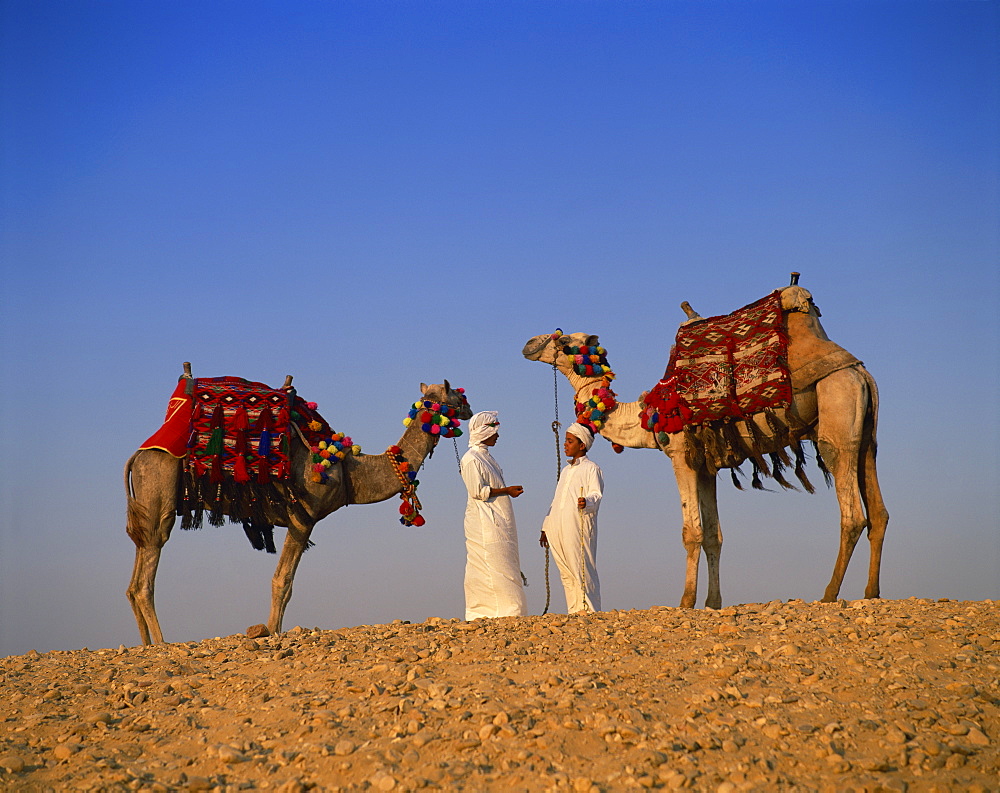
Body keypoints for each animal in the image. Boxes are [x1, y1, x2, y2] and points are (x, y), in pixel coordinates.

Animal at [126, 378, 472, 644]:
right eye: (458, 395)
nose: (470, 409)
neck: (348, 471)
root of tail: (137, 455)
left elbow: (285, 582)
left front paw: (273, 631)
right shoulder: (302, 518)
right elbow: (283, 581)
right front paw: (273, 633)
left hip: (146, 510)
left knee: (134, 576)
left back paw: (145, 643)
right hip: (159, 495)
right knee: (145, 579)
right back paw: (161, 643)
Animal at [520, 282, 888, 608]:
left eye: (562, 338)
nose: (529, 343)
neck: (648, 414)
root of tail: (859, 372)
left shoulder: (681, 456)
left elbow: (691, 532)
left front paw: (685, 602)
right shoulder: (707, 466)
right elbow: (714, 535)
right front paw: (712, 602)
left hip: (836, 410)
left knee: (852, 513)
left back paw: (830, 594)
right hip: (865, 433)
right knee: (878, 510)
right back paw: (871, 592)